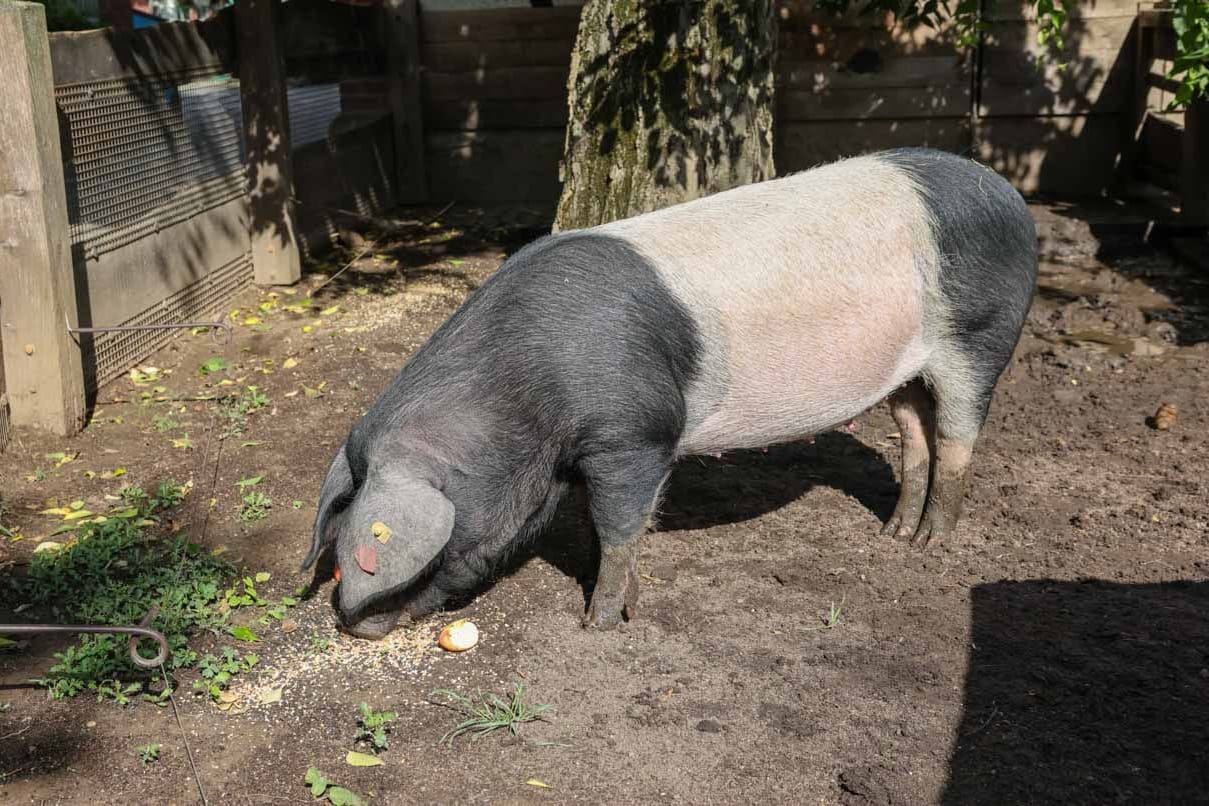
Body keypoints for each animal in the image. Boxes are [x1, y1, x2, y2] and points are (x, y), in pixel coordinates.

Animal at [302, 145, 1039, 638]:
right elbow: (610, 527)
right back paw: (894, 533)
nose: (354, 625)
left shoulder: (635, 432)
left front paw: (600, 623)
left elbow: (618, 524)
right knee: (914, 429)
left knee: (959, 433)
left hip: (981, 333)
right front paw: (621, 603)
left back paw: (931, 544)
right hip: (905, 367)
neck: (521, 402)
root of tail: (1008, 191)